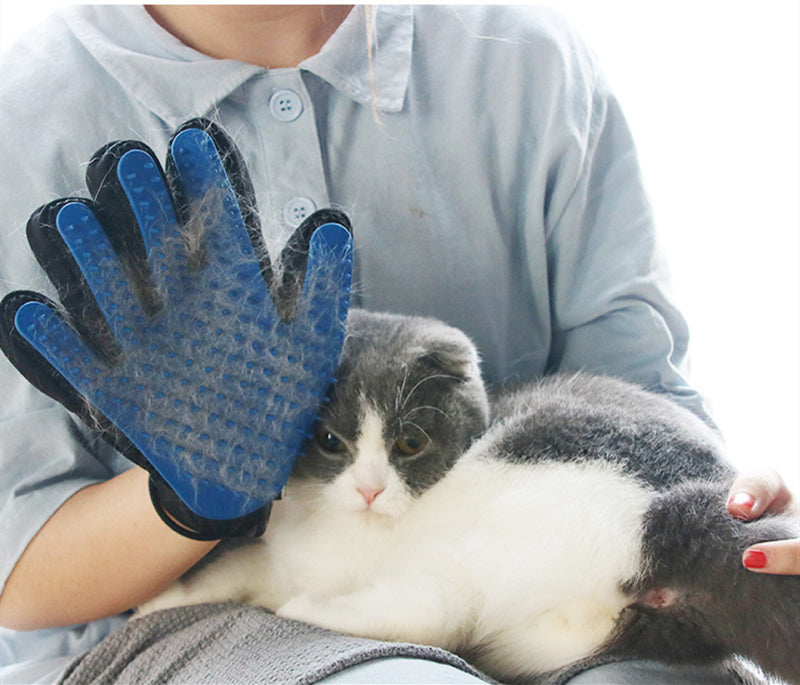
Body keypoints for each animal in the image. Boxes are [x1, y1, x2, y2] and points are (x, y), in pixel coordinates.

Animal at [142, 310, 800, 684]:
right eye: (329, 442)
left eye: (410, 443)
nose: (369, 488)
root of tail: (667, 517)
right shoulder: (271, 555)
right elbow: (221, 572)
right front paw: (158, 601)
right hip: (559, 634)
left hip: (496, 531)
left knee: (435, 611)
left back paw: (302, 610)